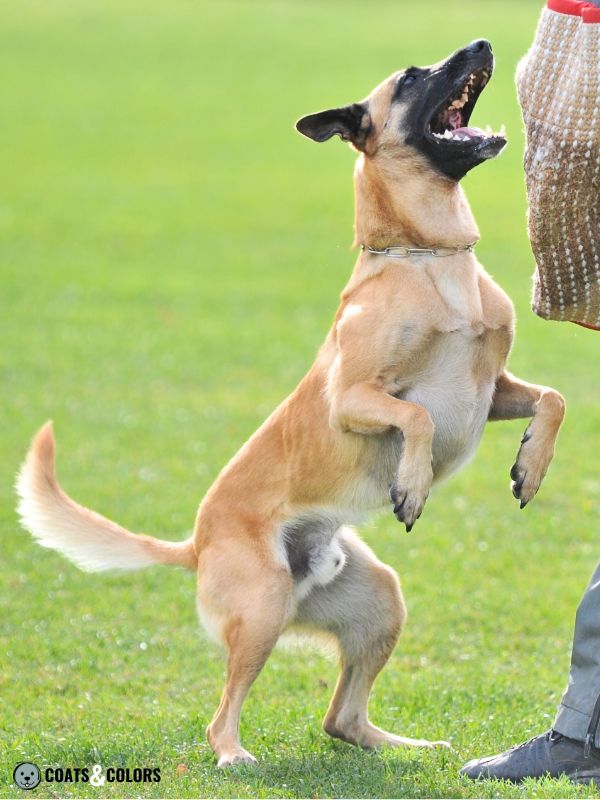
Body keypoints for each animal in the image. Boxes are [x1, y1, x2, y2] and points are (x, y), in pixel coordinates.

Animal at [16, 40, 564, 764]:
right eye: (412, 78)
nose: (481, 44)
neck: (428, 257)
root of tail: (195, 544)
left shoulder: (493, 389)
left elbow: (553, 398)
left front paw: (531, 467)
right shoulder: (352, 399)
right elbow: (416, 416)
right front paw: (412, 486)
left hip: (378, 601)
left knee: (343, 718)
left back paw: (410, 745)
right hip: (265, 608)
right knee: (223, 714)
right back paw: (233, 756)